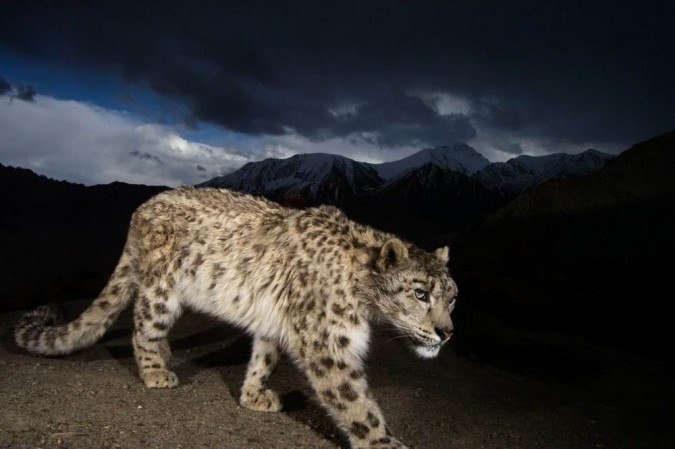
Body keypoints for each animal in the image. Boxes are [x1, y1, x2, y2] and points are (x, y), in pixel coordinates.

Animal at [15, 187, 457, 449]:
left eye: (453, 298)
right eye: (421, 293)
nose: (447, 333)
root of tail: (141, 210)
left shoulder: (277, 324)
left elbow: (264, 357)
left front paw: (253, 395)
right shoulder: (327, 345)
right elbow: (356, 403)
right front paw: (384, 443)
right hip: (162, 292)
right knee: (143, 326)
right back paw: (156, 371)